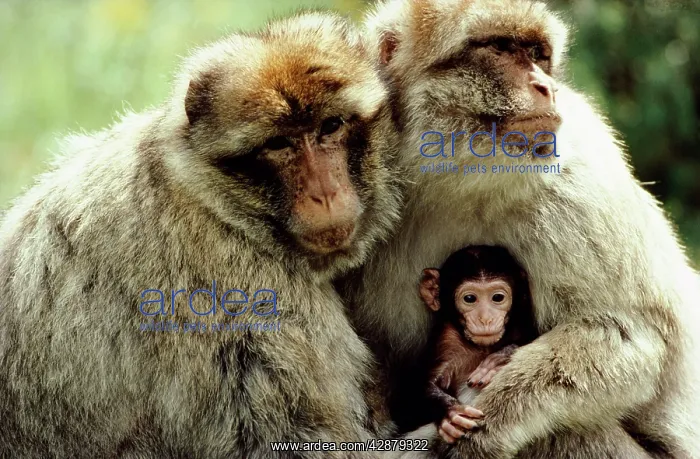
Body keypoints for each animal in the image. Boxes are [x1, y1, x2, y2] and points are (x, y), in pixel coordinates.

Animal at [419, 246, 537, 444]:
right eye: (469, 298)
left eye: (497, 297)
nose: (485, 319)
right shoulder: (446, 342)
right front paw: (450, 412)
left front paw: (496, 362)